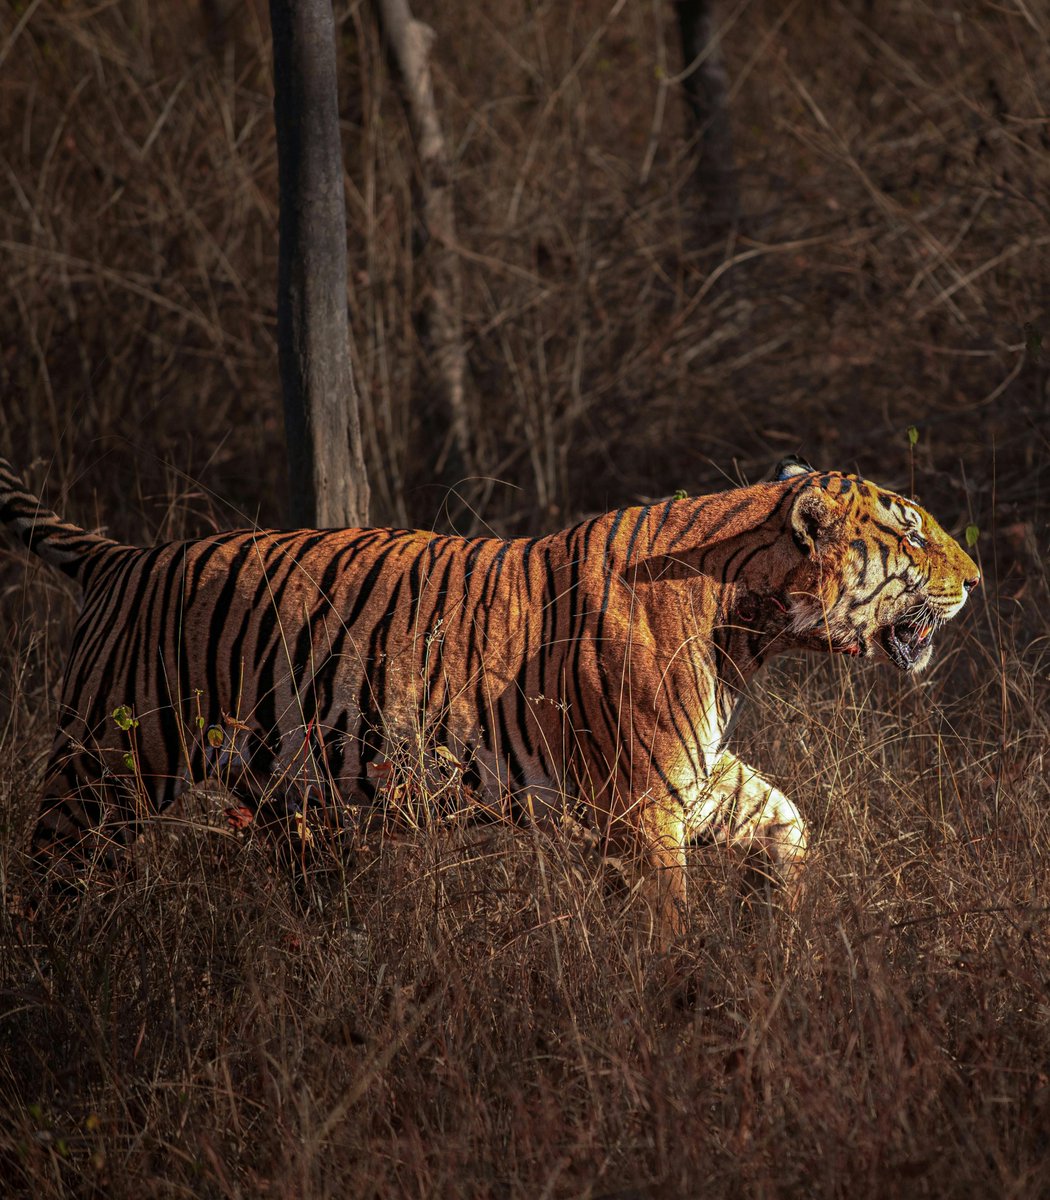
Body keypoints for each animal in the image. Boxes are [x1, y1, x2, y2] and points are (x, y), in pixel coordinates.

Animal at [0, 454, 979, 941]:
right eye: (909, 534)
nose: (976, 579)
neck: (751, 626)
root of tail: (121, 557)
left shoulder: (695, 782)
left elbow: (789, 823)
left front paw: (772, 931)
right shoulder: (642, 806)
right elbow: (662, 927)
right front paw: (675, 1018)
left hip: (292, 802)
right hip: (102, 772)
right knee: (44, 882)